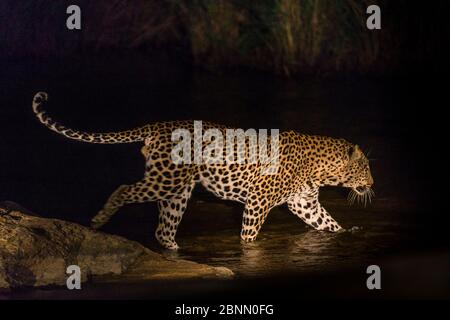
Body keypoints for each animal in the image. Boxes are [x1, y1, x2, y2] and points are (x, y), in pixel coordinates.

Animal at [31, 91, 374, 249]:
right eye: (366, 167)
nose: (372, 184)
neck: (320, 168)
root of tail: (157, 125)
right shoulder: (258, 202)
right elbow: (249, 235)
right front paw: (247, 249)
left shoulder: (304, 203)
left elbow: (329, 223)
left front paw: (348, 234)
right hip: (164, 181)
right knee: (124, 189)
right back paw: (99, 220)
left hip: (177, 191)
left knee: (162, 229)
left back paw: (177, 251)